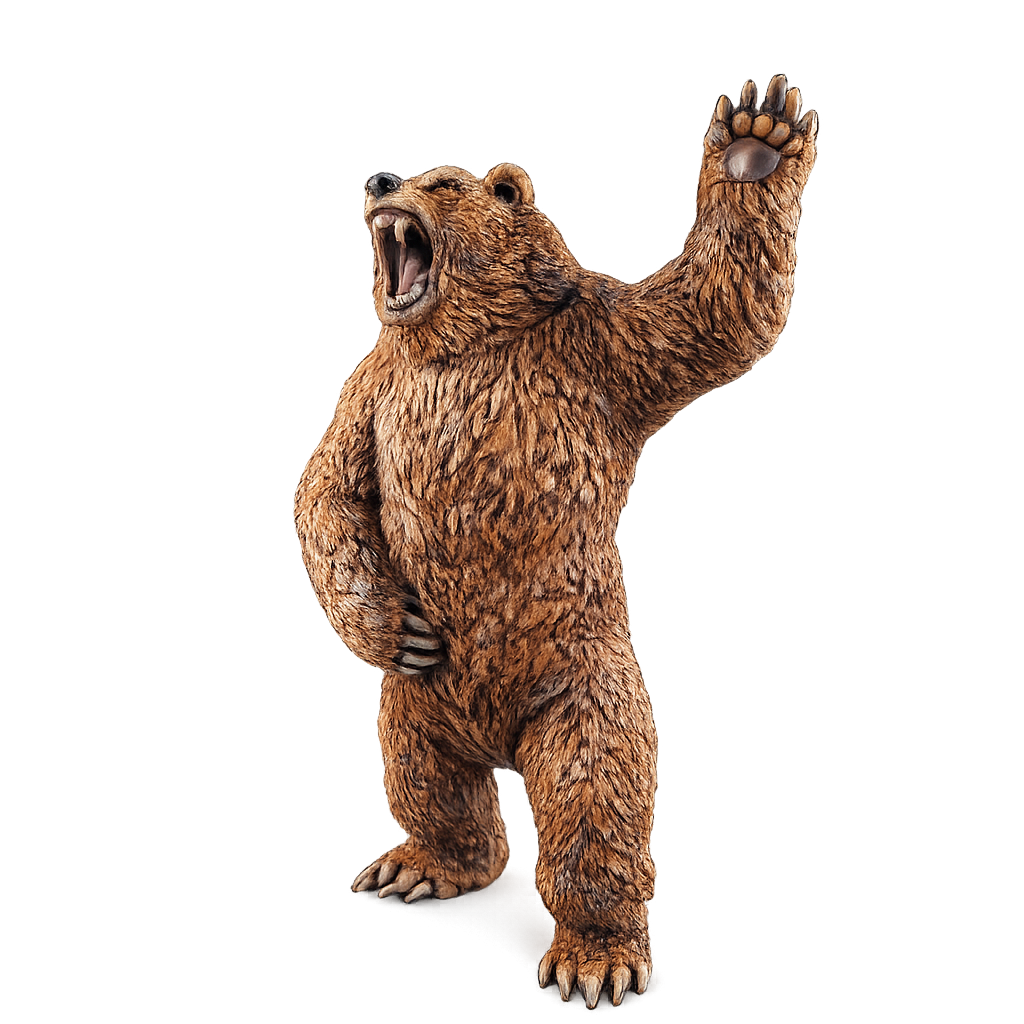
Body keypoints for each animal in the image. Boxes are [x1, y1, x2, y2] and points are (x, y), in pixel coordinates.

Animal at [295, 74, 817, 1008]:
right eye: (411, 172)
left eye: (445, 182)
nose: (380, 176)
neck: (460, 344)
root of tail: (497, 744)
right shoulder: (375, 380)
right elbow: (331, 488)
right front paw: (401, 625)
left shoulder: (597, 344)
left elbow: (710, 311)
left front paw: (755, 134)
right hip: (413, 709)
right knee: (423, 775)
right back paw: (418, 865)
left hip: (584, 686)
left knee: (593, 801)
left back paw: (595, 956)